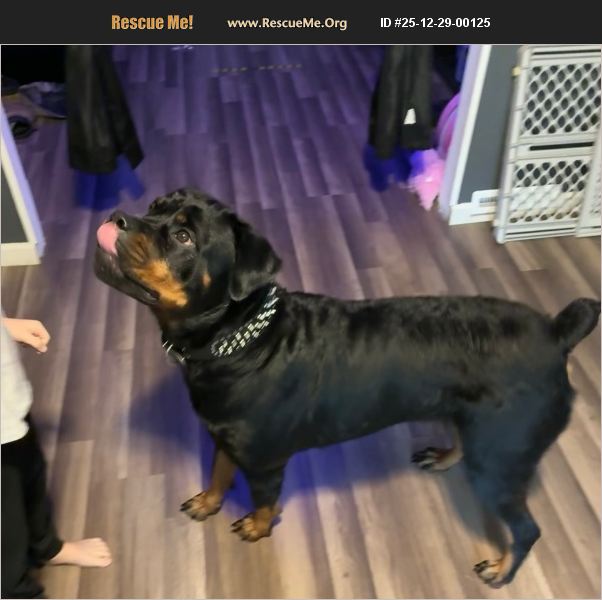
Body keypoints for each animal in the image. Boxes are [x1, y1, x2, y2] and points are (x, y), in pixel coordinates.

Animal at [94, 188, 600, 587]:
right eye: (154, 206)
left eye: (183, 237)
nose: (116, 217)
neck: (236, 337)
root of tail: (555, 334)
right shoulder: (223, 435)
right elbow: (219, 471)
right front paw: (208, 501)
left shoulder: (266, 459)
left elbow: (264, 499)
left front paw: (258, 527)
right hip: (481, 431)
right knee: (465, 440)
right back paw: (444, 456)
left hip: (500, 458)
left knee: (527, 529)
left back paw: (501, 570)